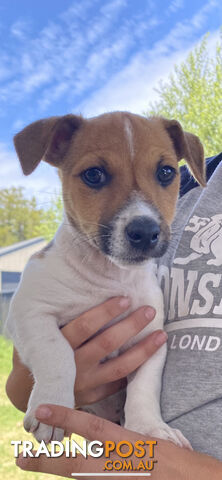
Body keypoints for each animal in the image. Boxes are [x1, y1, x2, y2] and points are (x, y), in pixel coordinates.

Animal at [6, 111, 206, 446]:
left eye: (166, 172)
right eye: (94, 175)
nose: (145, 232)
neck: (109, 275)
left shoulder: (151, 336)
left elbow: (144, 387)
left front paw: (149, 427)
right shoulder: (29, 311)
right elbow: (57, 353)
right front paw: (52, 408)